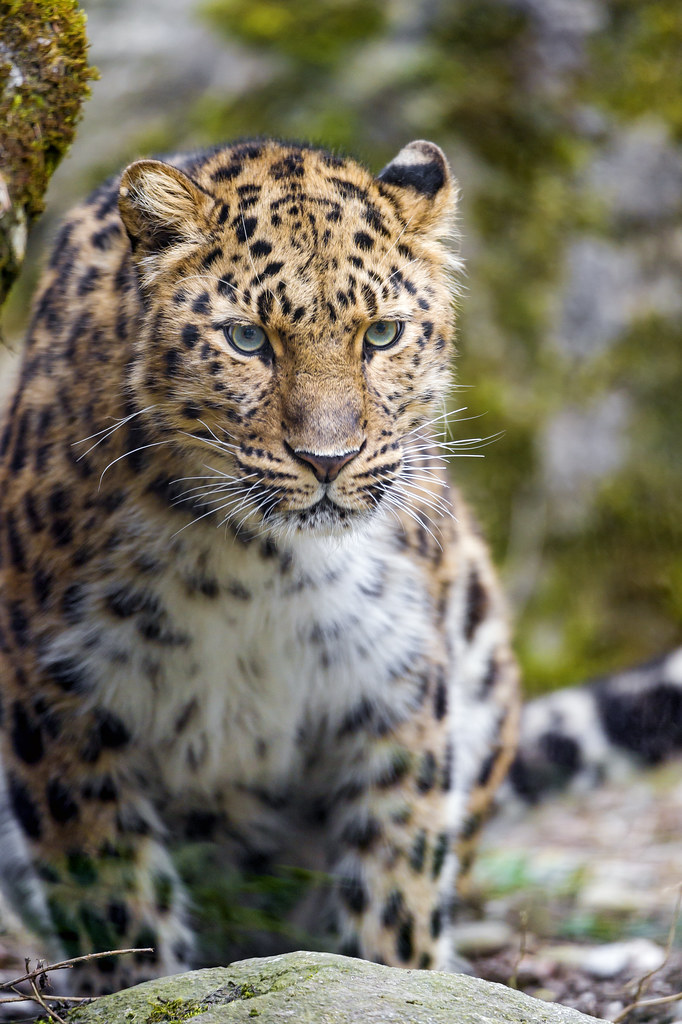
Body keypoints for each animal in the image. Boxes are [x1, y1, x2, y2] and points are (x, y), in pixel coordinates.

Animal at [0, 136, 522, 997]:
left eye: (382, 335)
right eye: (248, 340)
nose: (328, 460)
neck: (259, 566)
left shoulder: (395, 688)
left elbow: (395, 884)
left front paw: (395, 977)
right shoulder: (58, 699)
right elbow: (114, 899)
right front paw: (137, 987)